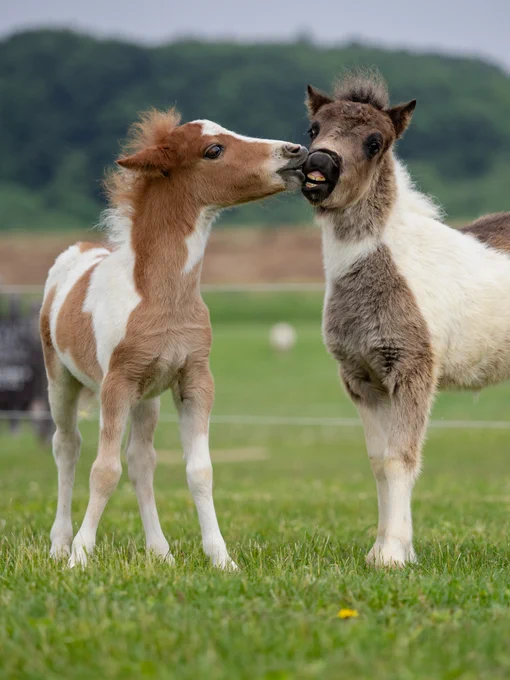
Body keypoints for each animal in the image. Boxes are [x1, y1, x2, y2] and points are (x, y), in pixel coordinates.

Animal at [40, 107, 307, 568]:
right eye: (213, 150)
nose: (295, 152)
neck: (159, 295)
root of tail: (76, 251)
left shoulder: (193, 378)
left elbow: (198, 470)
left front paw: (222, 559)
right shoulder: (116, 384)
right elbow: (103, 470)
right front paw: (80, 556)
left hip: (147, 397)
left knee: (141, 460)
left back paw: (159, 551)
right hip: (62, 380)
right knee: (67, 446)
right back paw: (60, 544)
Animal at [301, 70, 510, 567]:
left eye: (375, 142)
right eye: (313, 129)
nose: (318, 164)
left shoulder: (414, 370)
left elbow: (402, 457)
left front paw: (393, 555)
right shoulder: (362, 379)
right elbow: (380, 461)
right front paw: (389, 548)